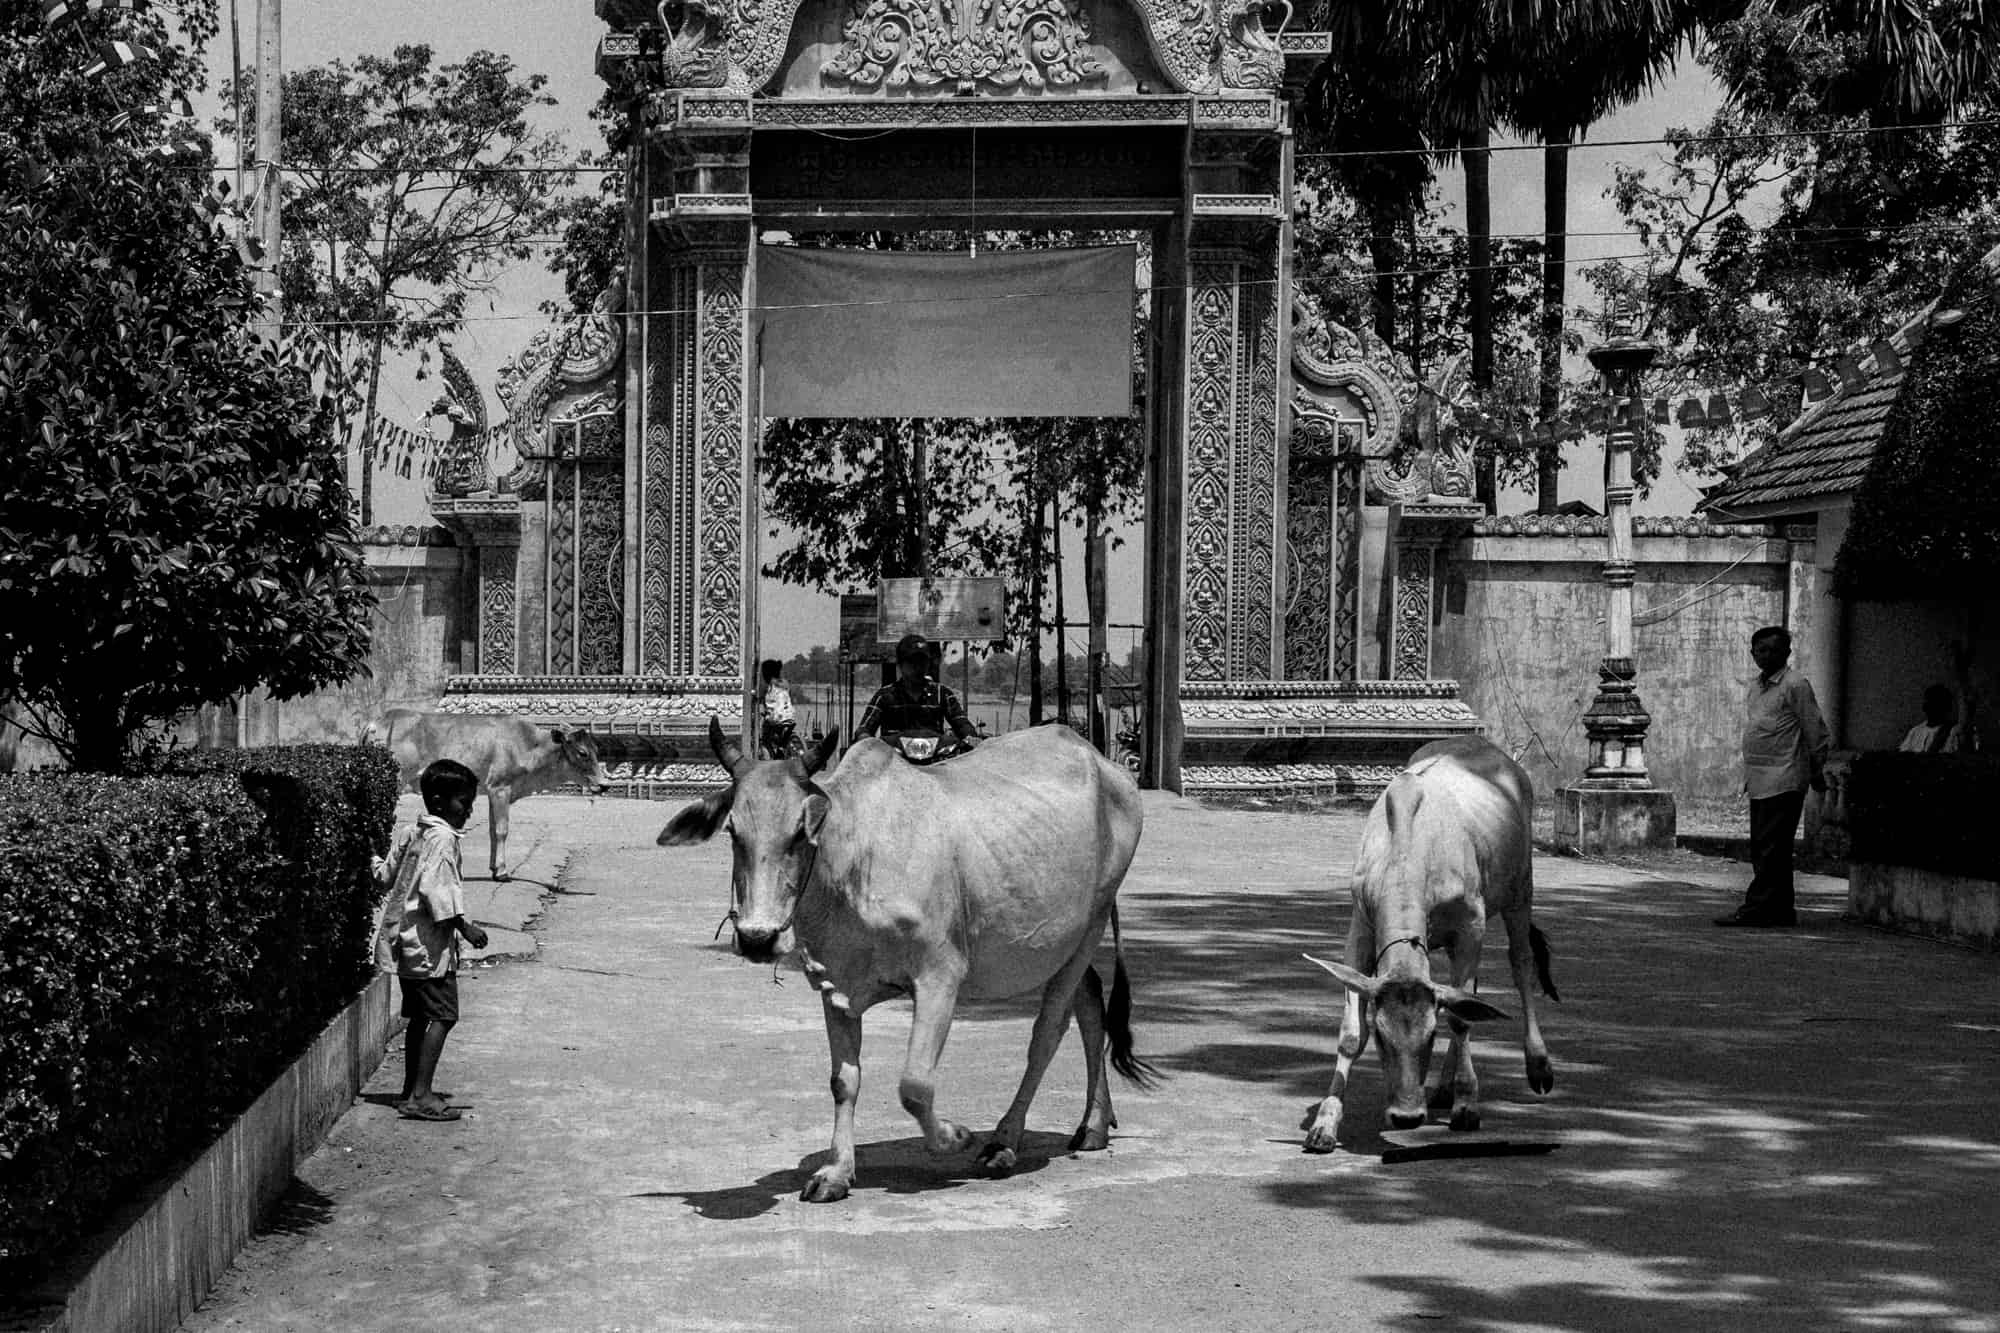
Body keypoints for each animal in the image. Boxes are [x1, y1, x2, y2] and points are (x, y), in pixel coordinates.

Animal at [362, 704, 604, 880]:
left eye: (596, 749)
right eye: (582, 752)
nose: (603, 785)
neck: (528, 746)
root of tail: (375, 722)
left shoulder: (491, 792)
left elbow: (492, 830)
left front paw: (494, 867)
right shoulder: (501, 788)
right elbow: (502, 830)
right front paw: (503, 872)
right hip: (392, 783)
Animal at [656, 720, 1160, 1200]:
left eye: (800, 831)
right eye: (732, 831)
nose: (757, 938)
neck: (854, 858)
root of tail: (1104, 764)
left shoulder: (940, 977)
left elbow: (915, 1085)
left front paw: (955, 1137)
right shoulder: (834, 984)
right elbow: (844, 1081)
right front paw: (836, 1173)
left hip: (1091, 922)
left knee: (1047, 1034)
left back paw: (1003, 1141)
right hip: (1058, 942)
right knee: (1091, 1001)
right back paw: (1094, 1125)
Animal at [1296, 732, 1560, 1144]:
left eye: (1431, 1034)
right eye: (1382, 1036)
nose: (1406, 1116)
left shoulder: (1472, 924)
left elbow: (1460, 1019)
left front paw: (1467, 1107)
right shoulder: (1361, 924)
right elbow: (1351, 1033)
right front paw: (1325, 1121)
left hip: (1521, 890)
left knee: (1520, 963)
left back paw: (1537, 1065)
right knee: (1469, 993)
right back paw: (1444, 1088)